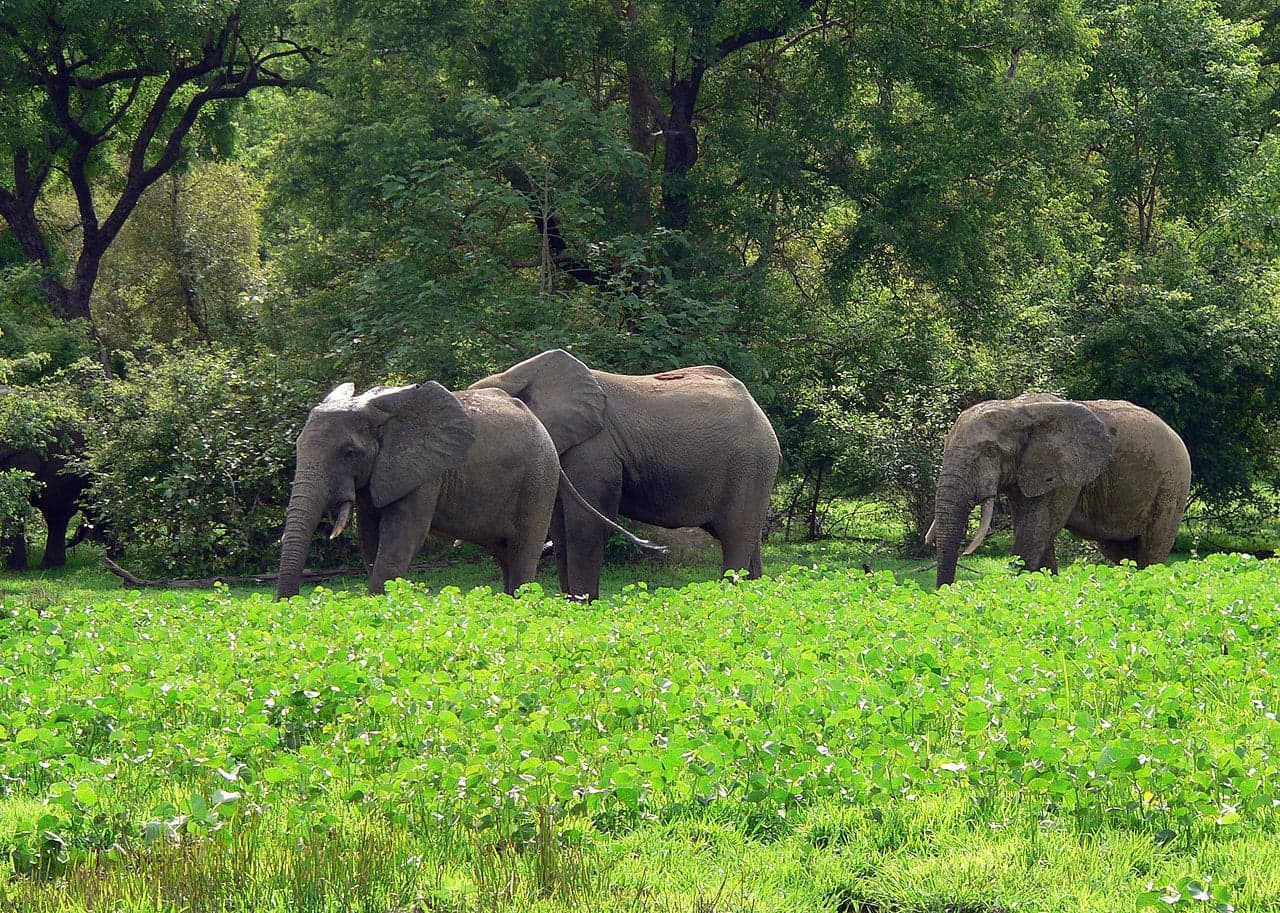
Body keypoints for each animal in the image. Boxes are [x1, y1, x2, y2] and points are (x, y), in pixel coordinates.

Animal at [275, 380, 660, 599]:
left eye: (349, 453)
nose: (289, 604)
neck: (378, 410)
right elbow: (371, 537)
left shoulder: (425, 471)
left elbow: (403, 536)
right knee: (505, 553)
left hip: (539, 478)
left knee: (524, 550)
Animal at [470, 349, 782, 600]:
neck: (516, 375)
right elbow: (559, 526)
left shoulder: (595, 448)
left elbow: (584, 525)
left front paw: (584, 607)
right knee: (748, 539)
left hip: (751, 465)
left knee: (736, 538)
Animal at [927, 393, 1191, 587]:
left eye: (991, 451)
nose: (946, 593)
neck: (1017, 409)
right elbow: (1034, 532)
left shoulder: (1063, 476)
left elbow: (1036, 530)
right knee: (1121, 554)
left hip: (1172, 485)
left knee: (1151, 551)